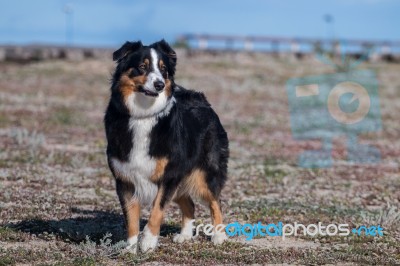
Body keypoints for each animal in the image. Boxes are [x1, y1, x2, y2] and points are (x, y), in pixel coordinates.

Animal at [104, 40, 228, 254]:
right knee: (190, 205)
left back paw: (219, 236)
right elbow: (131, 218)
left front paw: (148, 242)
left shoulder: (169, 175)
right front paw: (130, 248)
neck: (143, 115)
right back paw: (185, 235)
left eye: (163, 69)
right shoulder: (125, 179)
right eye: (142, 66)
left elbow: (157, 210)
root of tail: (201, 98)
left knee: (215, 201)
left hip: (205, 174)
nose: (159, 84)